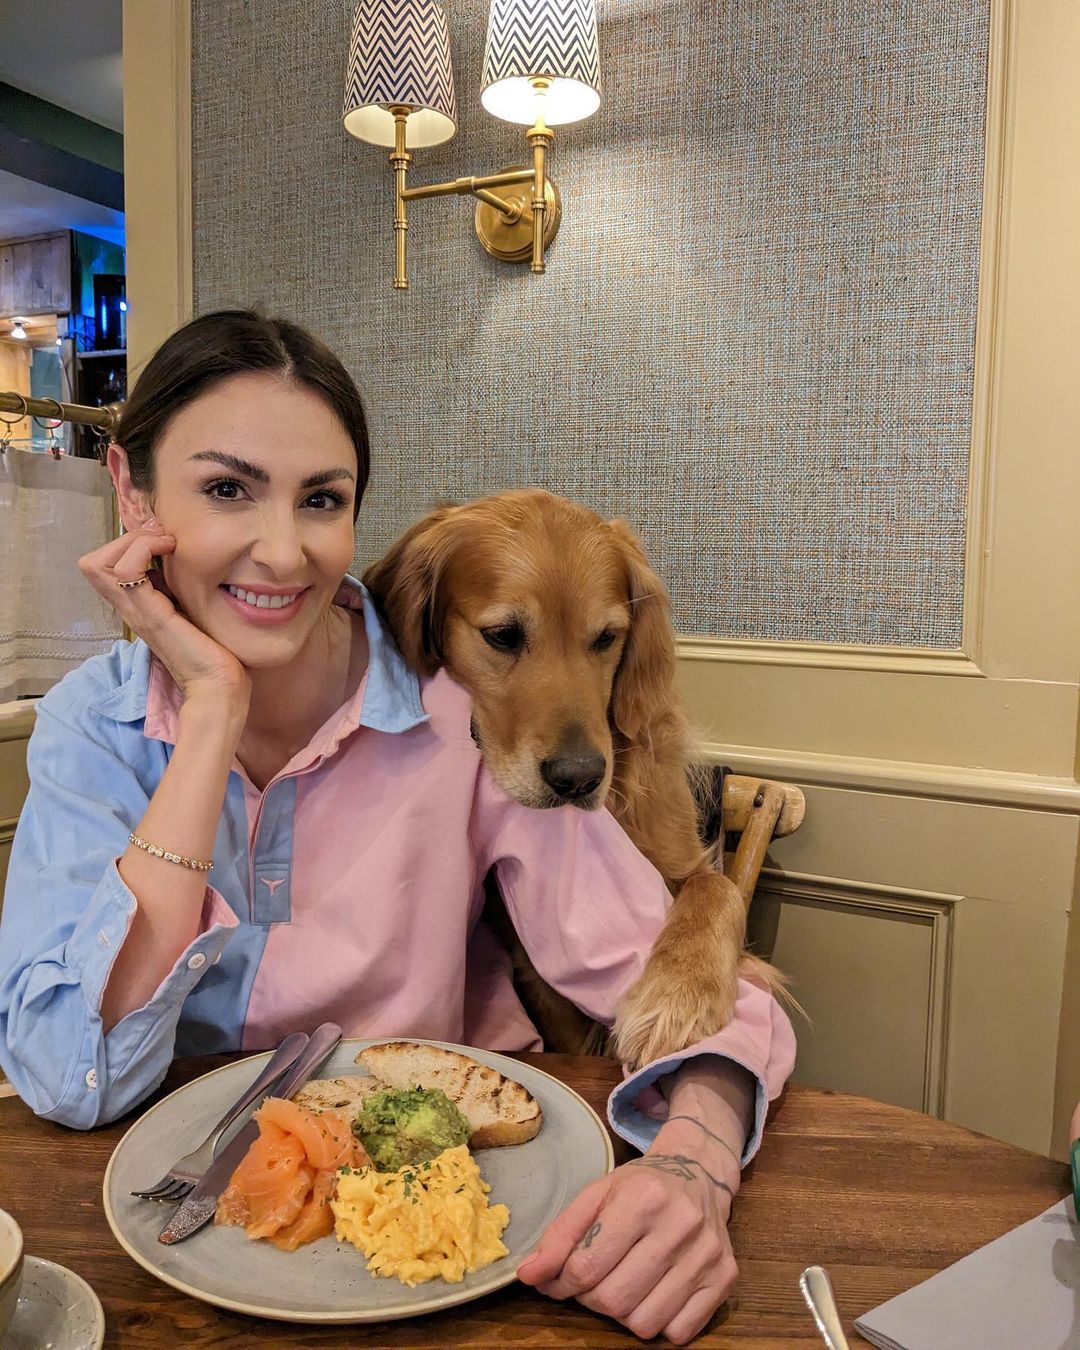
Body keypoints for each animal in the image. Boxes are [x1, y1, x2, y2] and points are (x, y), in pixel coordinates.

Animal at [361, 491, 777, 1069]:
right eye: (503, 636)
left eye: (606, 637)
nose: (579, 778)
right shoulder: (533, 971)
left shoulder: (682, 858)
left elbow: (719, 888)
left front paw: (678, 994)